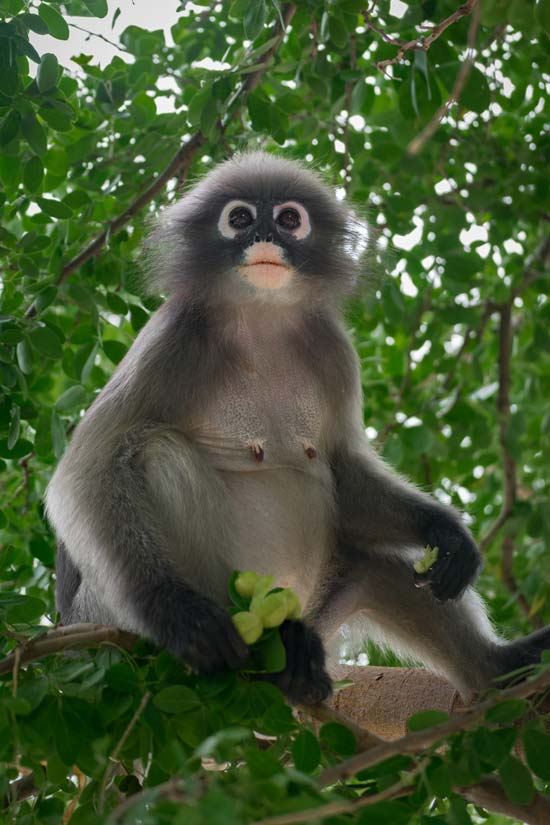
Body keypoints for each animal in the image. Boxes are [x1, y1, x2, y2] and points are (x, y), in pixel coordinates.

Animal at [46, 151, 550, 705]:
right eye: (240, 218)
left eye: (289, 219)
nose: (266, 235)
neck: (261, 323)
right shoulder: (173, 335)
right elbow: (84, 471)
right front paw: (179, 614)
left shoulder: (333, 347)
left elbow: (343, 469)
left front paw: (446, 532)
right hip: (107, 617)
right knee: (155, 453)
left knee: (376, 564)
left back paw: (497, 670)